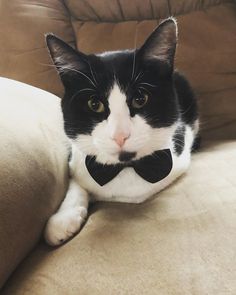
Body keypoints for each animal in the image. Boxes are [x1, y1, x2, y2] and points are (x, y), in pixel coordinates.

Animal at [43, 17, 199, 246]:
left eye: (140, 99)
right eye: (94, 104)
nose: (120, 135)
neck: (125, 168)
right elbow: (76, 180)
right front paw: (63, 218)